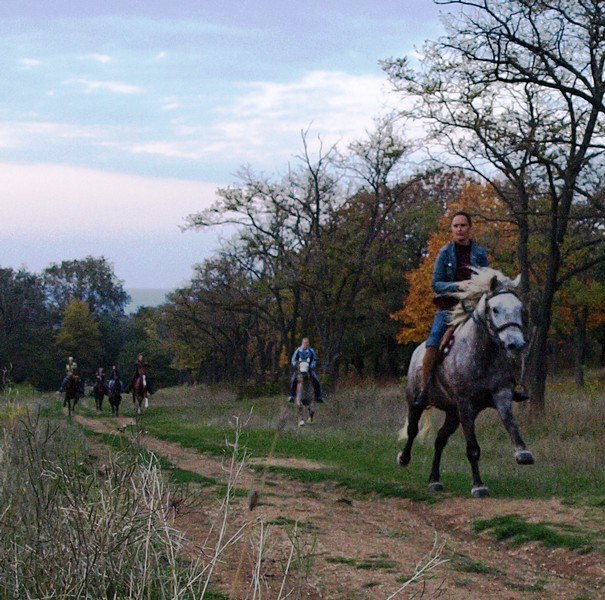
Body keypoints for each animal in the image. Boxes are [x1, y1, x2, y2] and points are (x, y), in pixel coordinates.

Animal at [402, 268, 532, 496]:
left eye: (519, 309)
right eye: (495, 309)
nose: (515, 344)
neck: (482, 354)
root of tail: (417, 351)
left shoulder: (501, 394)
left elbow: (510, 422)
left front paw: (522, 452)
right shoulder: (465, 405)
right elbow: (472, 448)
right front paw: (478, 486)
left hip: (452, 413)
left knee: (440, 439)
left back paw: (434, 480)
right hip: (417, 402)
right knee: (412, 430)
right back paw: (403, 459)